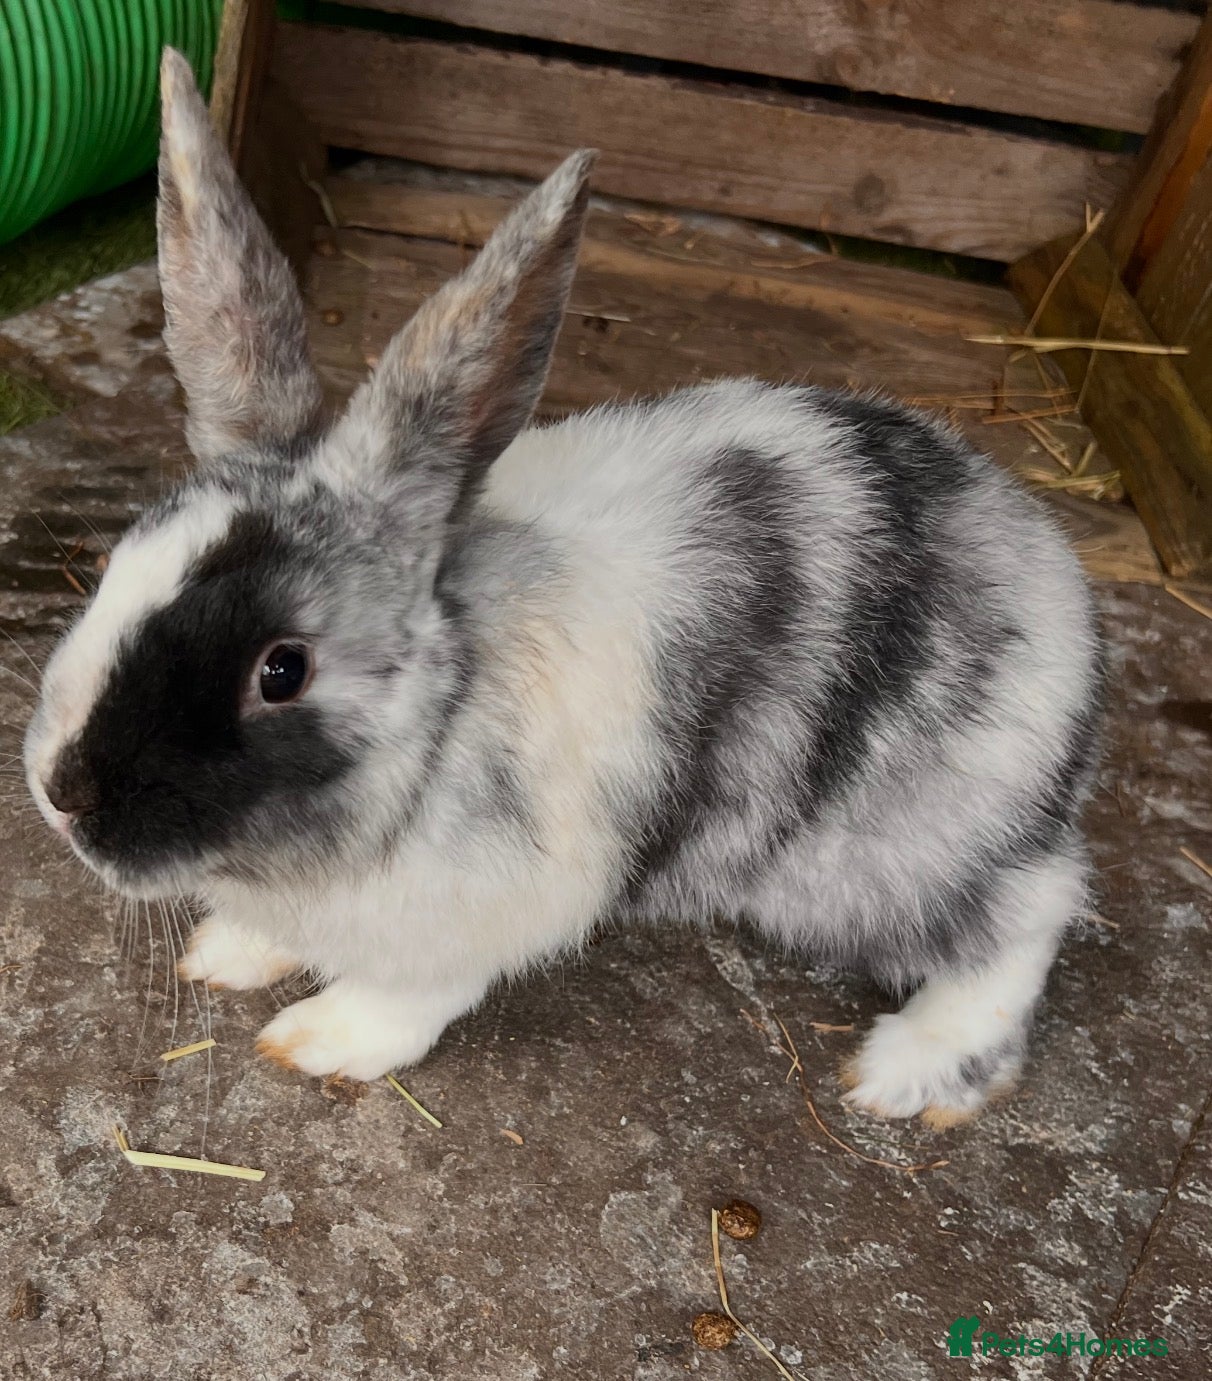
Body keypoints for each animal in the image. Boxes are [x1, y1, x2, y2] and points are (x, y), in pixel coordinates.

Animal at [24, 49, 1104, 1127]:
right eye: (121, 562)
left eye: (282, 669)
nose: (62, 791)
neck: (439, 717)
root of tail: (1053, 573)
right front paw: (225, 954)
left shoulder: (495, 907)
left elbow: (407, 997)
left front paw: (316, 1040)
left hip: (901, 846)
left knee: (1029, 914)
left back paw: (906, 1073)